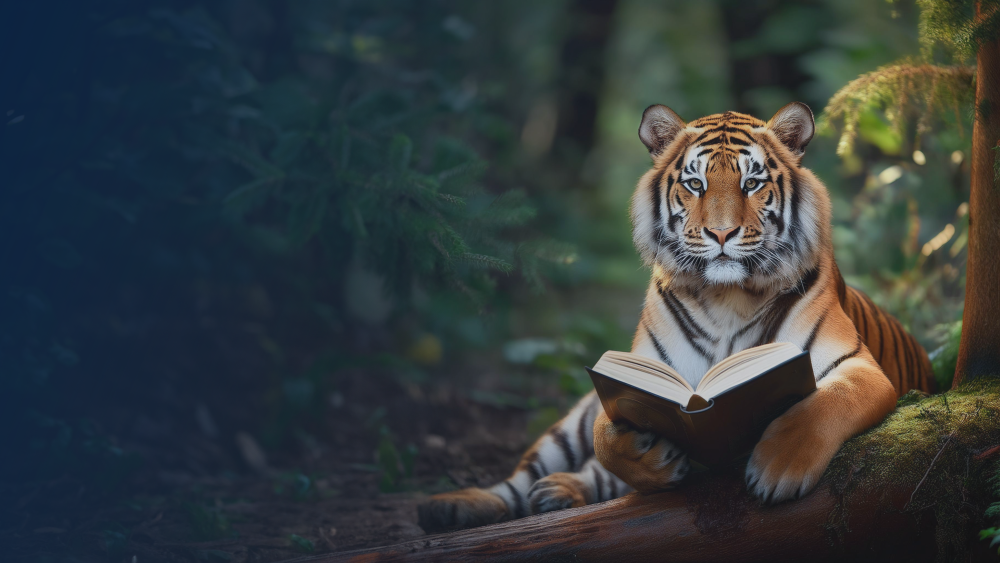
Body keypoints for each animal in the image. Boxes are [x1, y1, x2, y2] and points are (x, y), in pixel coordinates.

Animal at [418, 102, 932, 532]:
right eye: (695, 184)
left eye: (751, 183)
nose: (721, 233)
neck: (727, 298)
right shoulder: (642, 374)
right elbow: (605, 438)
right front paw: (657, 462)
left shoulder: (857, 366)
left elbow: (823, 405)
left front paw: (776, 469)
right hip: (565, 429)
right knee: (523, 479)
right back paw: (457, 505)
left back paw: (557, 493)